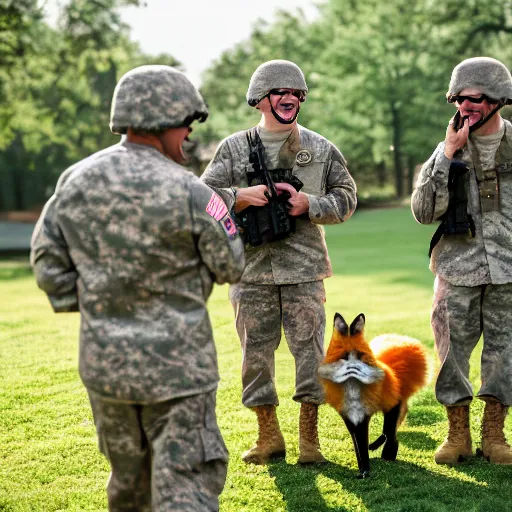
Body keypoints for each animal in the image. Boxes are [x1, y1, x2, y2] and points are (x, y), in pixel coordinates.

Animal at [320, 312, 428, 480]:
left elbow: (363, 446)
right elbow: (358, 448)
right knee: (388, 432)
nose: (354, 368)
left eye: (360, 355)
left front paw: (365, 471)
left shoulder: (363, 417)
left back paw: (388, 453)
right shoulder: (350, 419)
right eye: (344, 356)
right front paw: (362, 469)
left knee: (389, 433)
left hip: (391, 409)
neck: (353, 394)